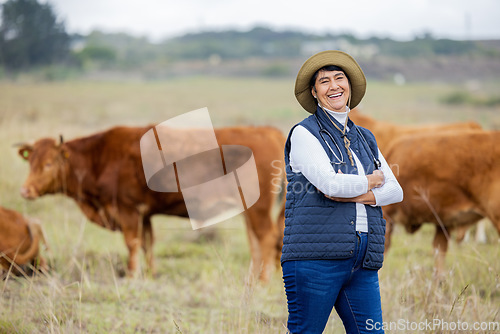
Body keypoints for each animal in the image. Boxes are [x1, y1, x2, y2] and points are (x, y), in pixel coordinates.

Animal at [18, 125, 286, 282]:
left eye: (49, 164)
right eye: (30, 162)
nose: (25, 190)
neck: (99, 157)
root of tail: (268, 130)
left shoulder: (127, 209)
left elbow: (133, 243)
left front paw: (131, 275)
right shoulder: (144, 214)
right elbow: (147, 243)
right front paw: (150, 273)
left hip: (259, 209)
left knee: (267, 239)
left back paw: (263, 281)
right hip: (250, 211)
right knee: (256, 243)